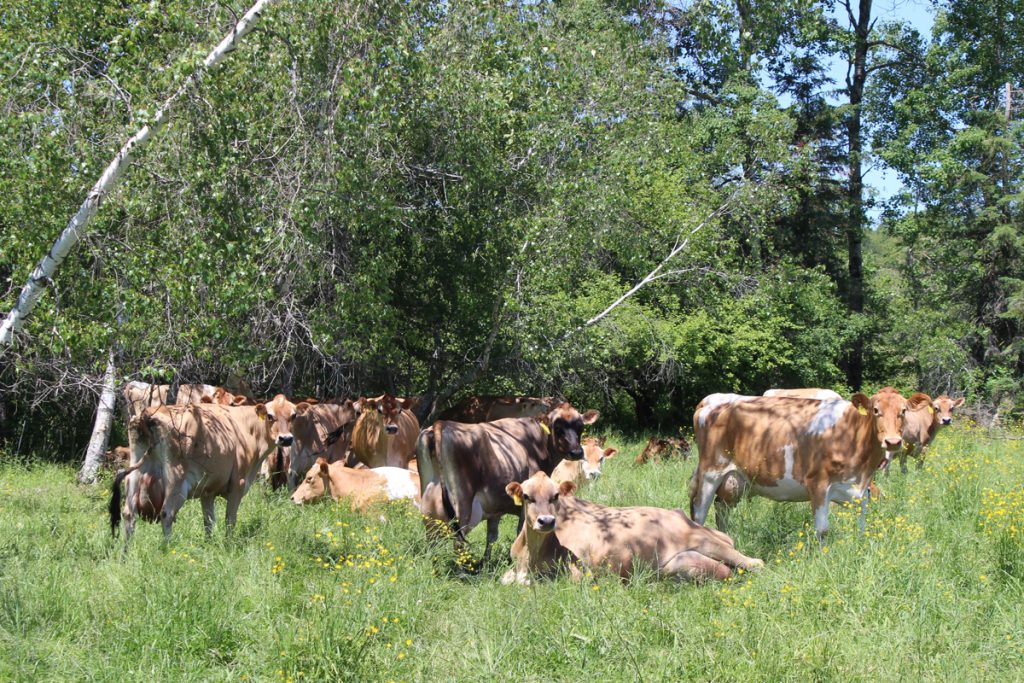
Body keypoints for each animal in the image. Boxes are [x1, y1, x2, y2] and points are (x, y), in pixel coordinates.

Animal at [112, 395, 296, 544]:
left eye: (293, 415)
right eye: (270, 416)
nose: (286, 439)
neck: (246, 428)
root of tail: (148, 414)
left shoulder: (207, 490)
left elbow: (209, 521)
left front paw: (209, 545)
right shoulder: (238, 484)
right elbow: (230, 519)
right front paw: (228, 545)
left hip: (135, 472)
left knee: (129, 514)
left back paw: (125, 555)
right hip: (175, 478)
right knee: (167, 513)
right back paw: (165, 550)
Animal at [499, 473, 765, 585]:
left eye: (555, 496)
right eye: (527, 496)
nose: (546, 521)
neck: (529, 556)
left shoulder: (579, 572)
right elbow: (506, 579)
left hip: (705, 541)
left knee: (755, 563)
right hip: (677, 564)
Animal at [688, 387, 905, 540]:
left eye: (903, 411)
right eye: (875, 410)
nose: (893, 442)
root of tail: (710, 401)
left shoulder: (861, 491)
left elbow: (861, 527)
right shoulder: (818, 484)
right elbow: (822, 530)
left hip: (734, 481)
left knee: (721, 510)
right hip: (711, 473)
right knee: (699, 511)